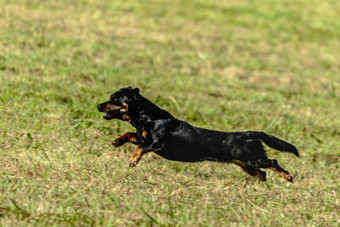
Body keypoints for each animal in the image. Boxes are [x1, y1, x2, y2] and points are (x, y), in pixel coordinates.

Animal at [97, 87, 298, 183]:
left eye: (115, 99)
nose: (98, 105)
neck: (149, 117)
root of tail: (247, 134)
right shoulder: (143, 136)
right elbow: (130, 134)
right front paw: (117, 141)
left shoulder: (156, 143)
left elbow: (139, 147)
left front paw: (133, 160)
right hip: (246, 164)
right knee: (262, 173)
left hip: (253, 158)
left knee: (273, 162)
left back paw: (288, 177)